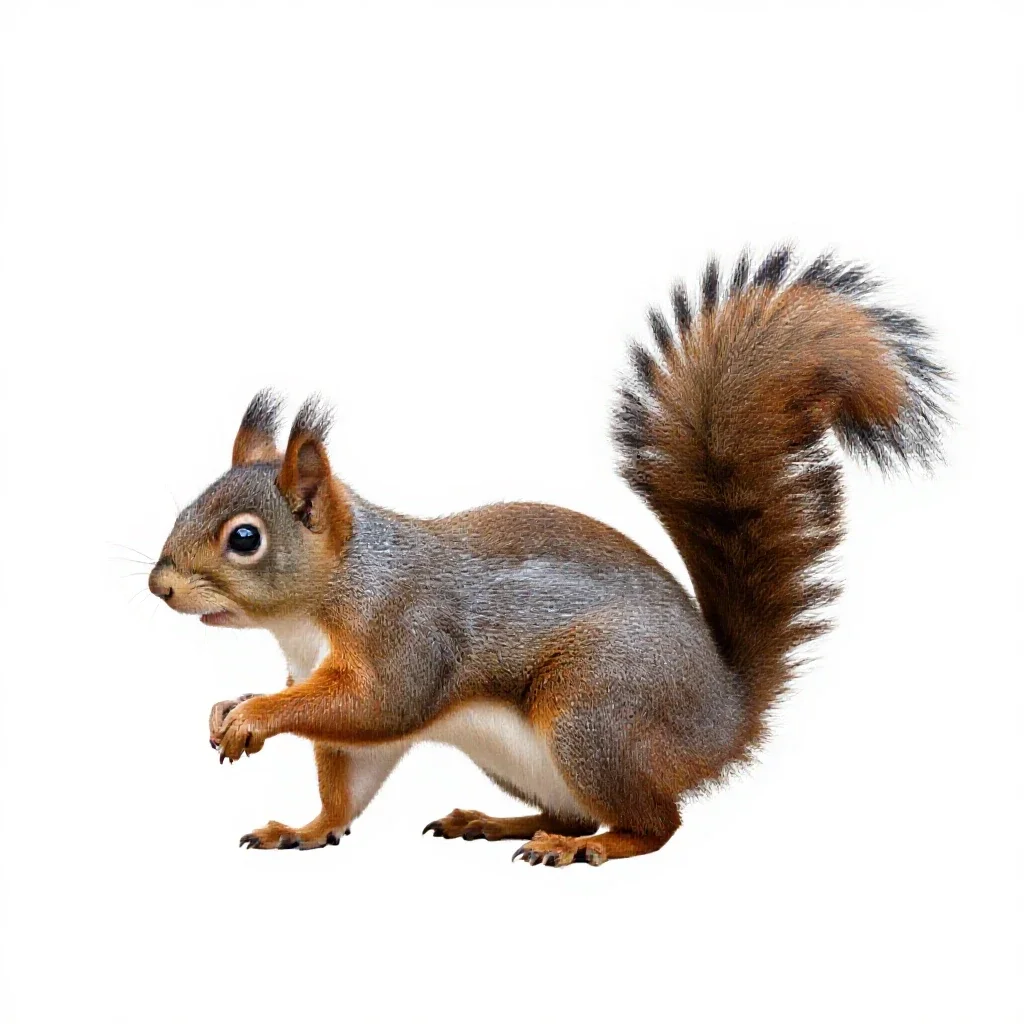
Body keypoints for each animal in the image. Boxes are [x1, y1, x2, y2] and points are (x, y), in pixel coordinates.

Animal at [149, 247, 949, 867]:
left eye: (244, 538)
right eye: (189, 507)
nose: (159, 587)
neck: (324, 603)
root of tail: (723, 719)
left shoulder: (410, 634)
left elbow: (373, 707)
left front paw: (255, 715)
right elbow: (347, 781)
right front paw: (300, 819)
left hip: (593, 713)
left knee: (655, 824)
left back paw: (586, 848)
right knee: (572, 808)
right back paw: (498, 823)